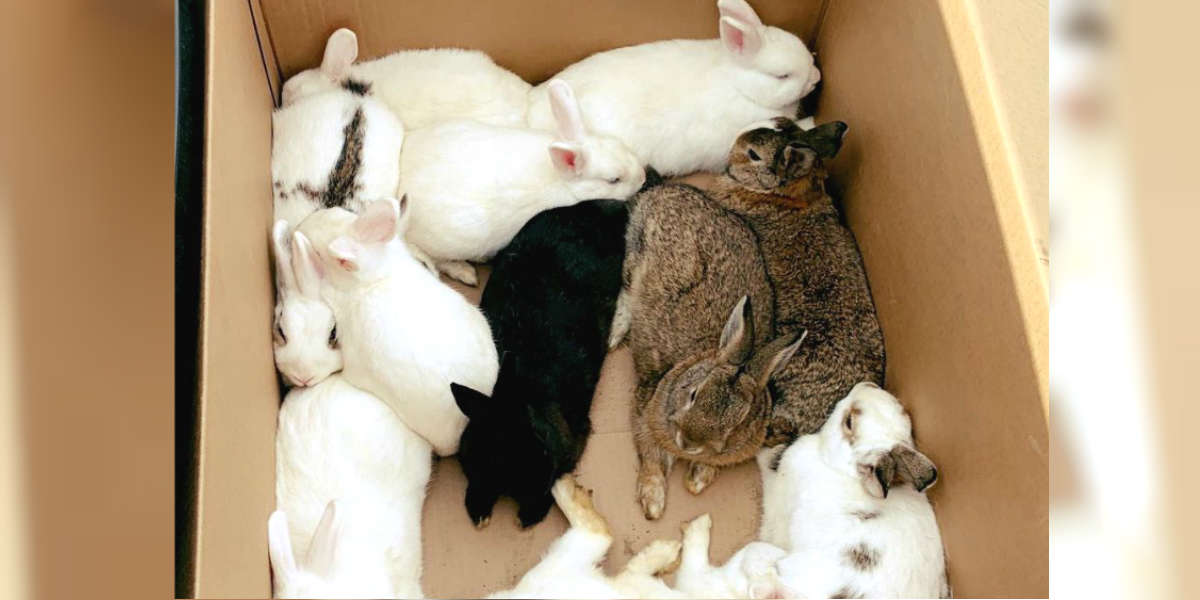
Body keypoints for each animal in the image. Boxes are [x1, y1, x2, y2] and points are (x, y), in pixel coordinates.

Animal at [614, 179, 804, 519]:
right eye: (692, 394)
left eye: (738, 423)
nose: (689, 442)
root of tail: (664, 190)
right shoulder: (645, 405)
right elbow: (650, 455)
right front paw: (653, 501)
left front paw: (697, 480)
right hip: (635, 257)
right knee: (625, 292)